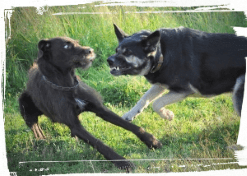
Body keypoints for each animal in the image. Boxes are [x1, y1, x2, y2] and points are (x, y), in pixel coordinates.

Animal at [107, 24, 246, 121]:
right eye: (117, 50)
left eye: (127, 52)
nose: (109, 60)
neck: (162, 53)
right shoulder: (160, 85)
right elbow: (144, 99)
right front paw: (130, 114)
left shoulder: (183, 91)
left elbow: (156, 103)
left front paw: (167, 115)